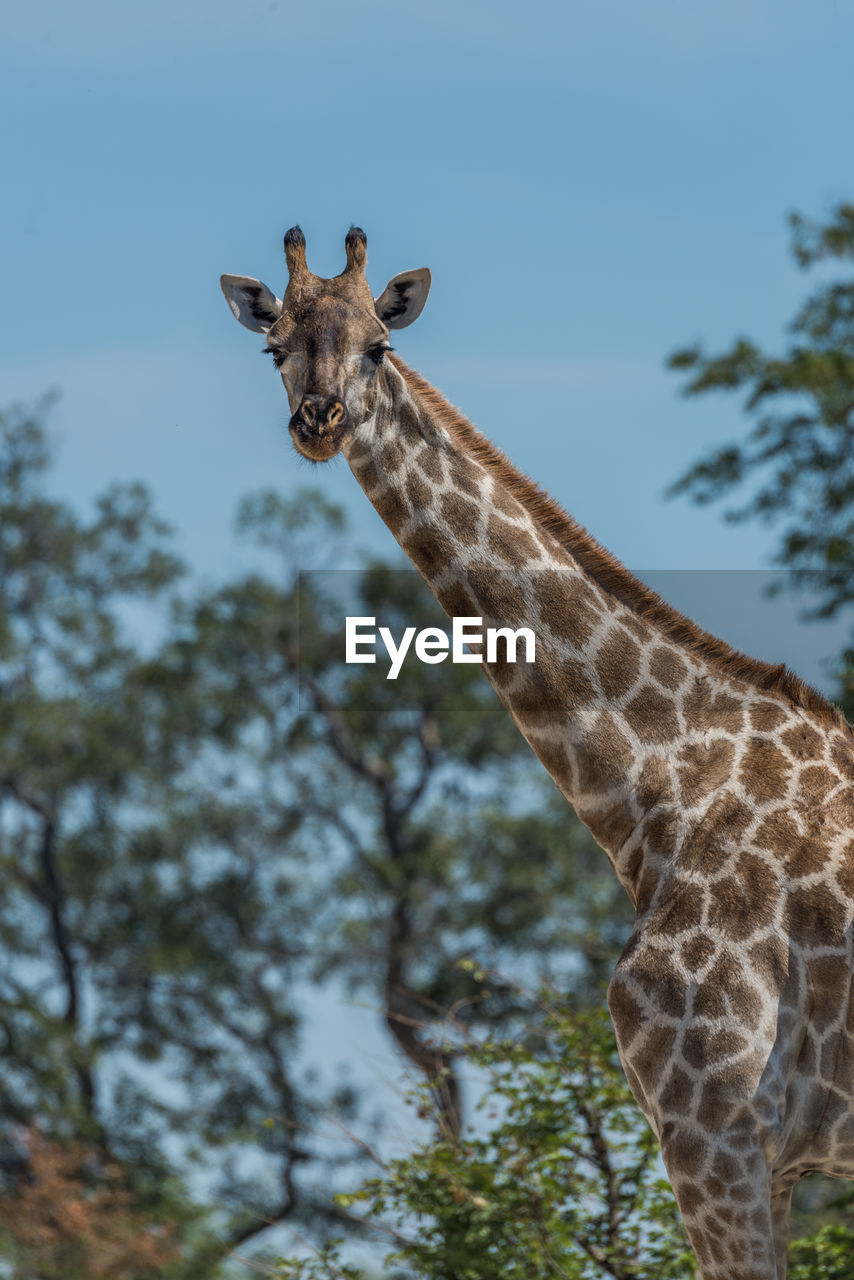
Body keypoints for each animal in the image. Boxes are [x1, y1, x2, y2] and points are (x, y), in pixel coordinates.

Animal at [218, 230, 854, 1280]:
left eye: (381, 347)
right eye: (275, 349)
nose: (320, 420)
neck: (662, 794)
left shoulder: (716, 1132)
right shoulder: (764, 1153)